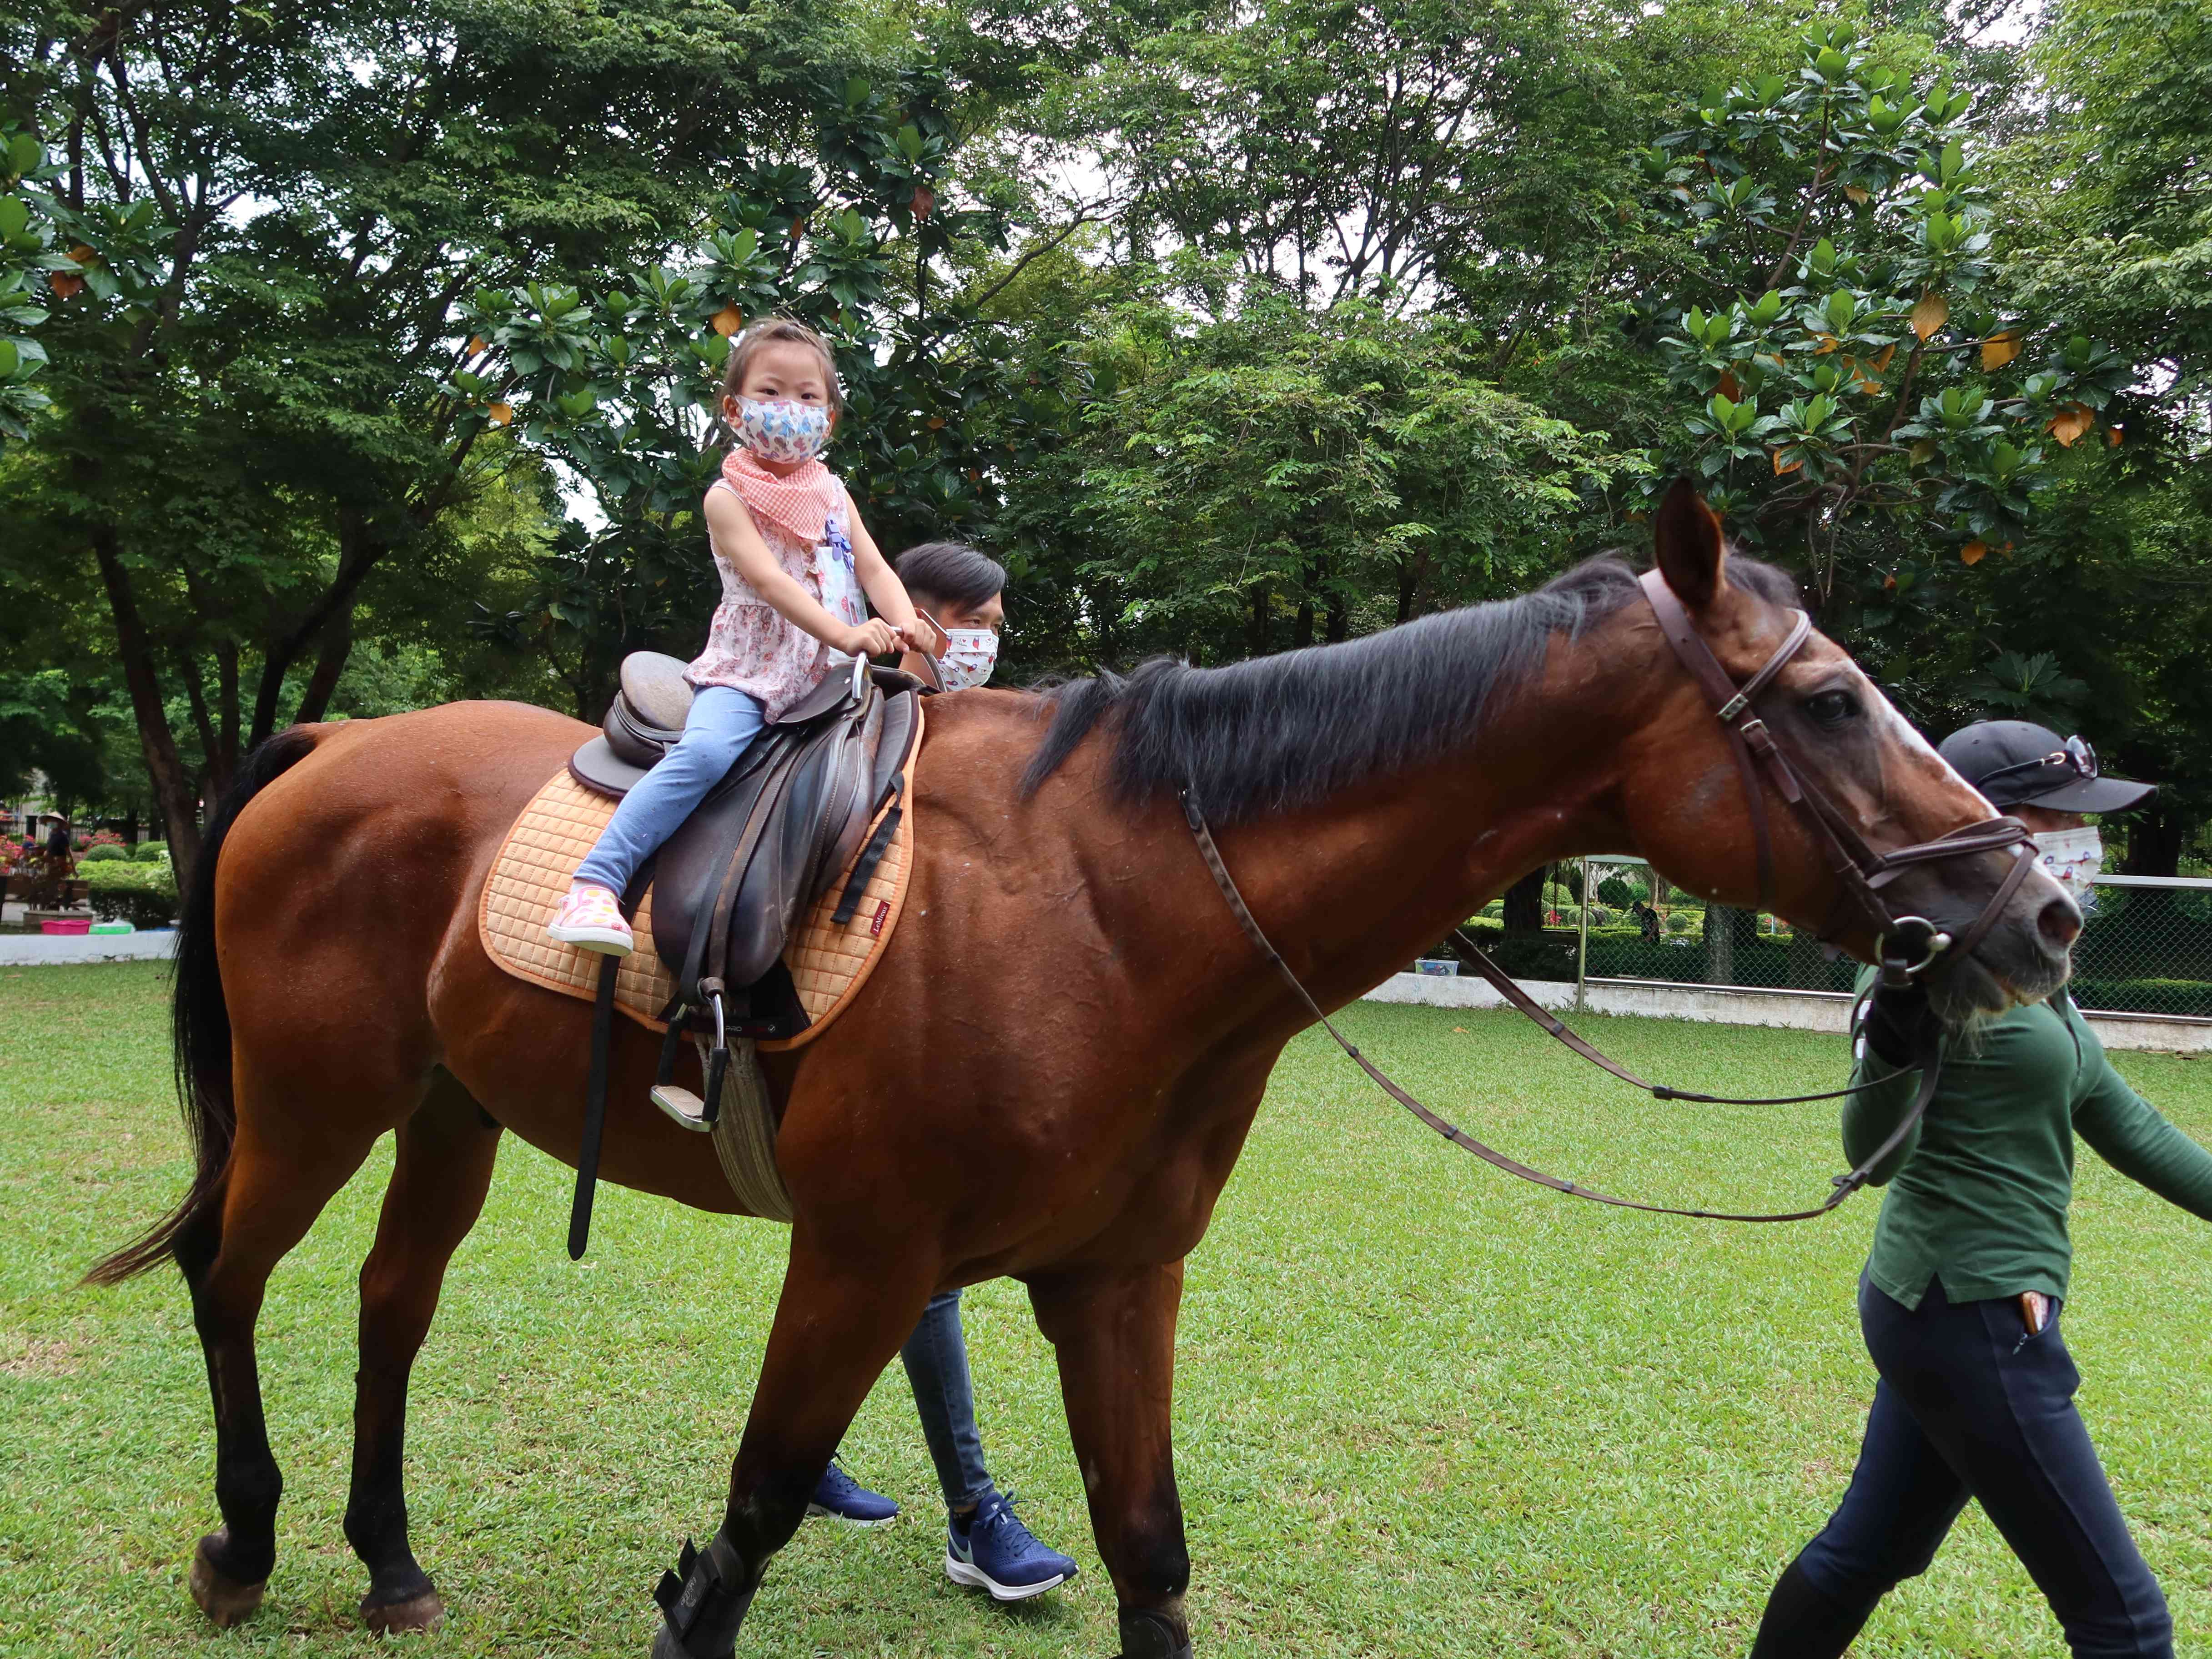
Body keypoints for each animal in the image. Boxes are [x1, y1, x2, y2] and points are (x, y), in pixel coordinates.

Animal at [99, 491, 2070, 1659]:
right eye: (1827, 703)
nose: (2035, 909)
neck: (1114, 906)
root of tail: (338, 739)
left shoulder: (1115, 1277)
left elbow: (1148, 1551)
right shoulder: (861, 1261)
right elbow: (741, 1535)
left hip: (446, 1109)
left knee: (388, 1302)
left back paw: (383, 1555)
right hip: (315, 1101)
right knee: (228, 1270)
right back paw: (247, 1544)